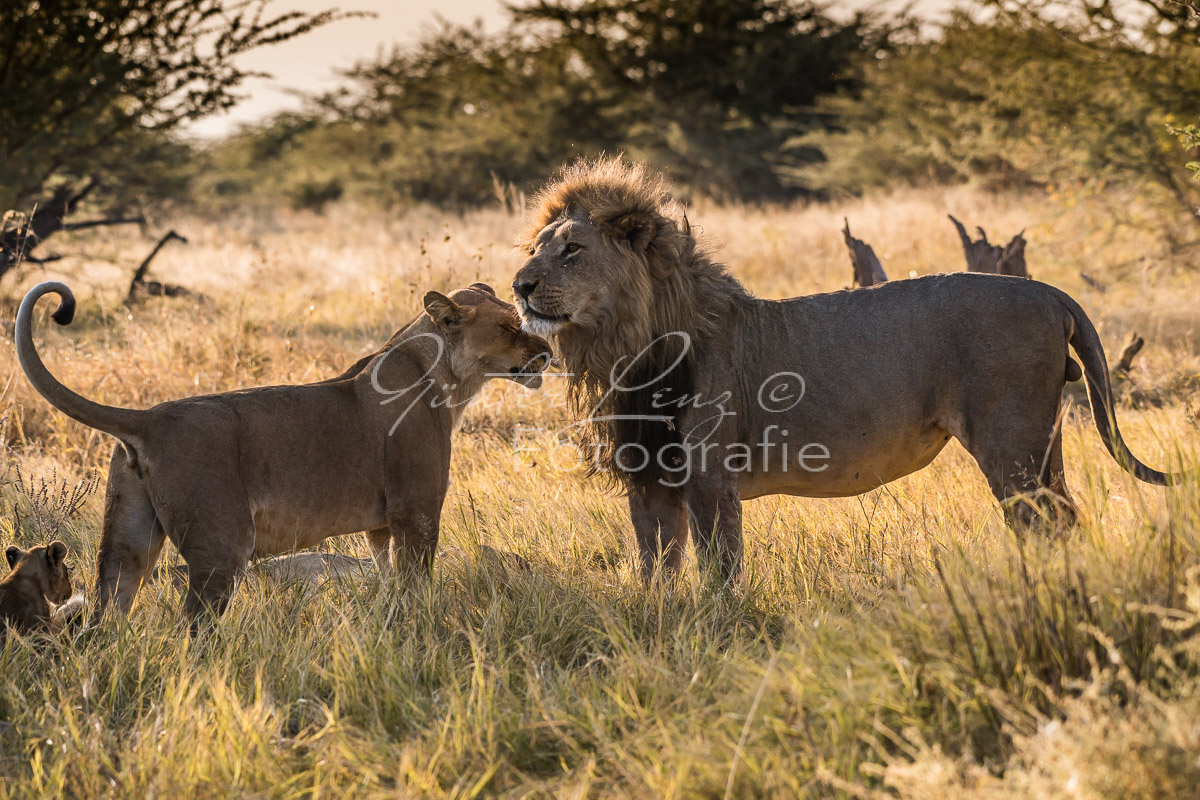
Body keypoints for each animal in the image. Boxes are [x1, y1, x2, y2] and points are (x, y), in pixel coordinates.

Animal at [16, 281, 549, 623]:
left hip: (127, 545)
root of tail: (150, 417)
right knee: (192, 628)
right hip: (222, 545)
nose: (547, 352)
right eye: (509, 326)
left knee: (107, 617)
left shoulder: (381, 526)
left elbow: (390, 580)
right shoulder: (415, 510)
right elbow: (418, 584)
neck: (443, 378)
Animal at [511, 155, 1176, 582]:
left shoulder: (709, 478)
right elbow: (656, 571)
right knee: (1062, 516)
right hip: (1042, 441)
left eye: (572, 250)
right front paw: (659, 626)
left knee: (1046, 522)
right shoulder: (649, 480)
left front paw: (718, 631)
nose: (519, 286)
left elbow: (720, 572)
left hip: (1011, 441)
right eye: (535, 249)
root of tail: (1048, 292)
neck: (625, 349)